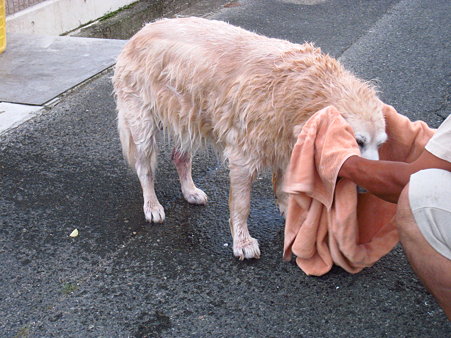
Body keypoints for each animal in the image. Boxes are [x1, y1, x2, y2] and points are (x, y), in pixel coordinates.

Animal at [113, 17, 388, 260]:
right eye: (357, 141)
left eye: (380, 144)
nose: (374, 188)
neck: (301, 92)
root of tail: (138, 33)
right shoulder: (243, 158)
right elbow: (242, 204)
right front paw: (243, 242)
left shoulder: (285, 146)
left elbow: (284, 188)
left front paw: (291, 218)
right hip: (142, 121)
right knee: (145, 167)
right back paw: (152, 205)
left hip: (186, 116)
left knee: (180, 157)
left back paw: (190, 191)